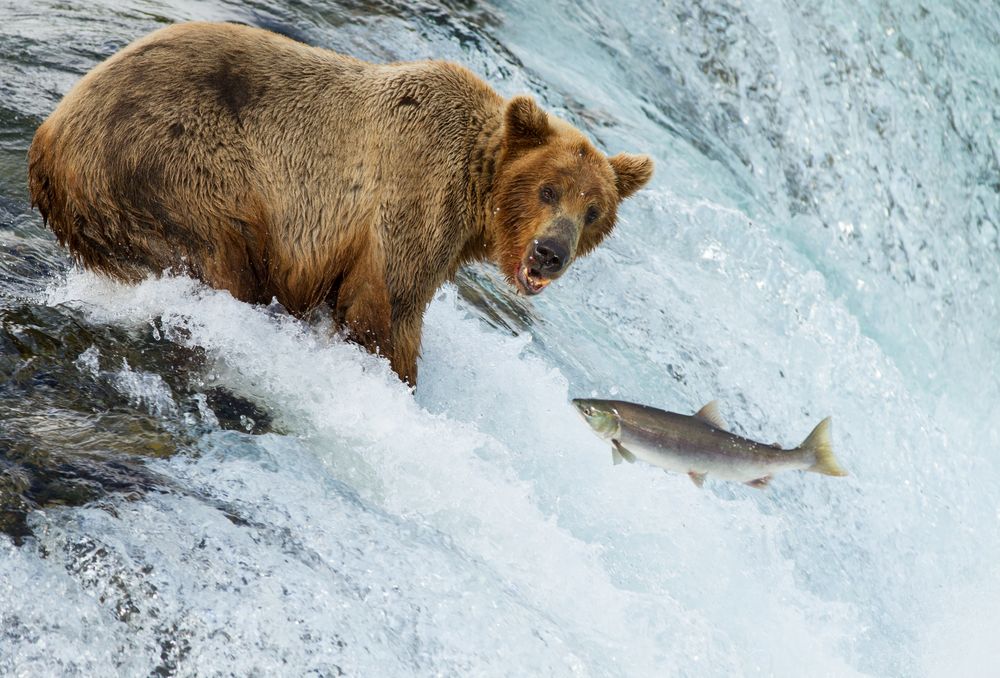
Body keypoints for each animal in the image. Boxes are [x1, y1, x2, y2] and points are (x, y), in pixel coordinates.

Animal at [27, 21, 652, 386]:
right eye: (549, 189)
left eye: (594, 212)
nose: (550, 252)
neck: (478, 193)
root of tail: (47, 141)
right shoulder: (410, 196)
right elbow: (386, 308)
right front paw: (398, 380)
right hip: (173, 167)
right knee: (222, 256)